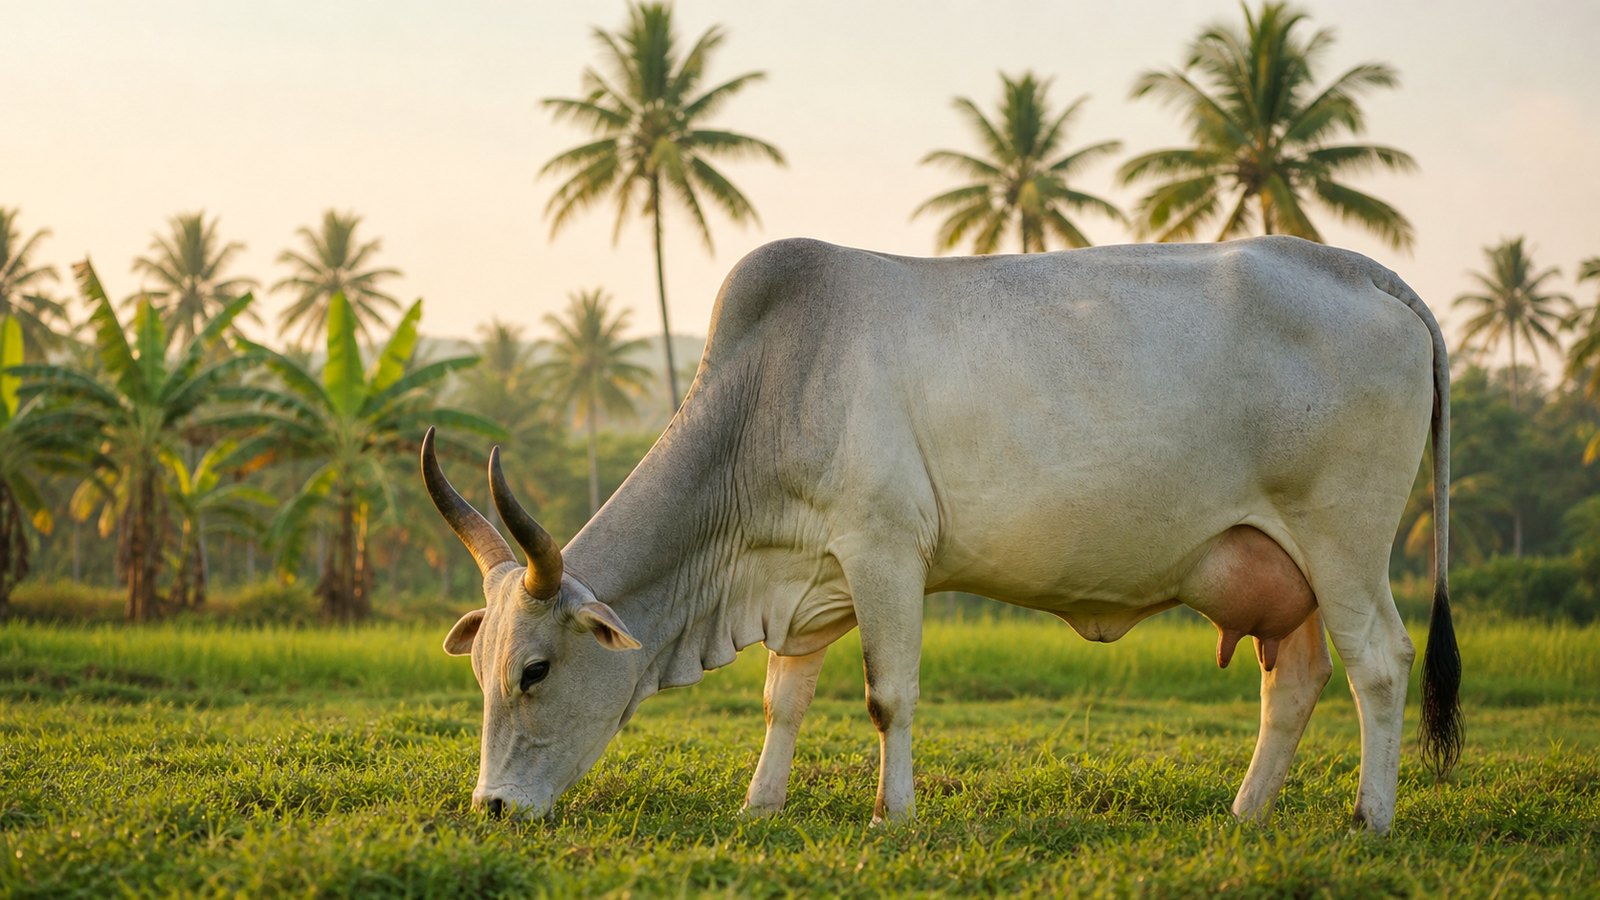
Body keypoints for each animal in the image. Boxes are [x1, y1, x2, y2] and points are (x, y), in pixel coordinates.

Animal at [422, 235, 1461, 834]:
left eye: (536, 672)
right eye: (482, 674)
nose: (492, 808)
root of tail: (1367, 271)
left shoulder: (885, 552)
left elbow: (889, 698)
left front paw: (896, 816)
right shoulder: (809, 579)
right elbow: (783, 699)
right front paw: (761, 804)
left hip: (1345, 545)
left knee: (1380, 663)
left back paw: (1369, 818)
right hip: (1287, 568)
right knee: (1296, 682)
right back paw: (1246, 815)